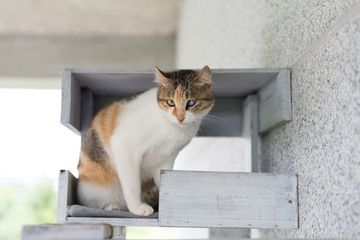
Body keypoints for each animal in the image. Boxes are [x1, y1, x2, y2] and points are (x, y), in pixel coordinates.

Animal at [76, 66, 214, 218]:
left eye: (191, 102)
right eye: (170, 102)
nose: (180, 118)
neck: (171, 127)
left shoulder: (167, 159)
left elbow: (162, 180)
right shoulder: (124, 146)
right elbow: (132, 183)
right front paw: (137, 208)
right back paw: (112, 206)